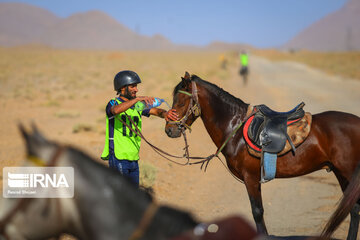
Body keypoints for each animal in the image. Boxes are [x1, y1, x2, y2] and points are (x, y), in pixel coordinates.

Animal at [165, 72, 360, 239]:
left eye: (180, 103)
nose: (169, 130)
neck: (235, 129)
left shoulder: (250, 178)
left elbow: (257, 212)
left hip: (348, 172)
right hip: (341, 174)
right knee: (354, 208)